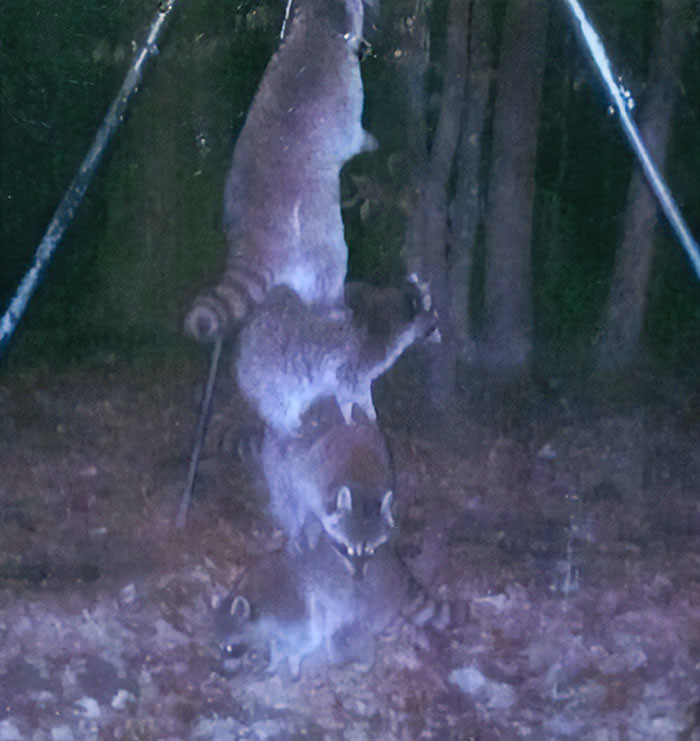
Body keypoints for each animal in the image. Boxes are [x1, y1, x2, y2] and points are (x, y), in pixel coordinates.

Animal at [185, 0, 375, 342]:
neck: (317, 28)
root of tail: (252, 241)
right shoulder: (347, 94)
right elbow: (351, 138)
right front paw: (368, 141)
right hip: (317, 243)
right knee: (329, 269)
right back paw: (335, 308)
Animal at [236, 278, 439, 436]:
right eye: (432, 323)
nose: (439, 336)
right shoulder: (355, 363)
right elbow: (349, 392)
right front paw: (359, 414)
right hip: (269, 364)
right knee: (277, 395)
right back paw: (284, 425)